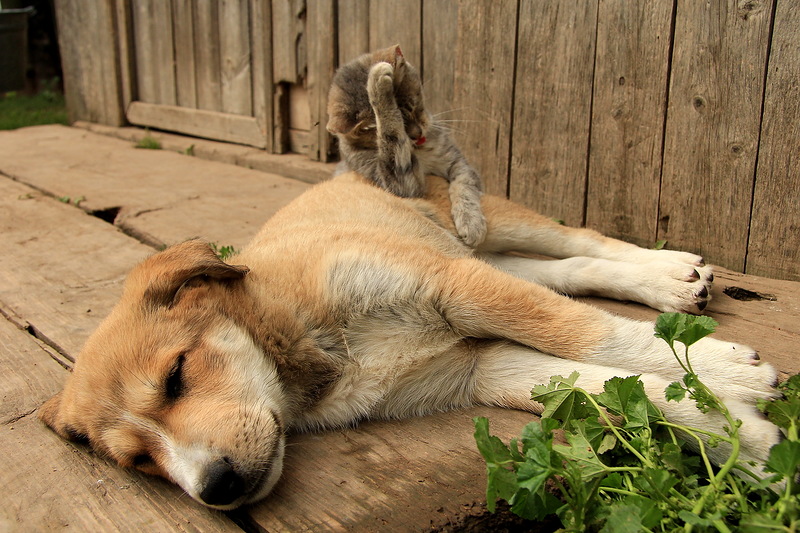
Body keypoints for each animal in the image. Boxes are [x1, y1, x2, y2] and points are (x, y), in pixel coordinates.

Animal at [39, 174, 780, 508]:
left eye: (177, 375)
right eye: (140, 461)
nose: (215, 488)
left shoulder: (456, 287)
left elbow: (590, 335)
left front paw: (725, 371)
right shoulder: (479, 364)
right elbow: (605, 388)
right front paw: (744, 437)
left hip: (483, 228)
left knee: (587, 242)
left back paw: (673, 272)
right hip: (482, 255)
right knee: (568, 271)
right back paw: (668, 286)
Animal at [326, 44, 488, 247]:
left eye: (411, 105)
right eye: (372, 130)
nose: (417, 135)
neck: (418, 151)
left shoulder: (457, 162)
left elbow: (464, 186)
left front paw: (471, 223)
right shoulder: (403, 184)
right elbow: (393, 141)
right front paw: (377, 85)